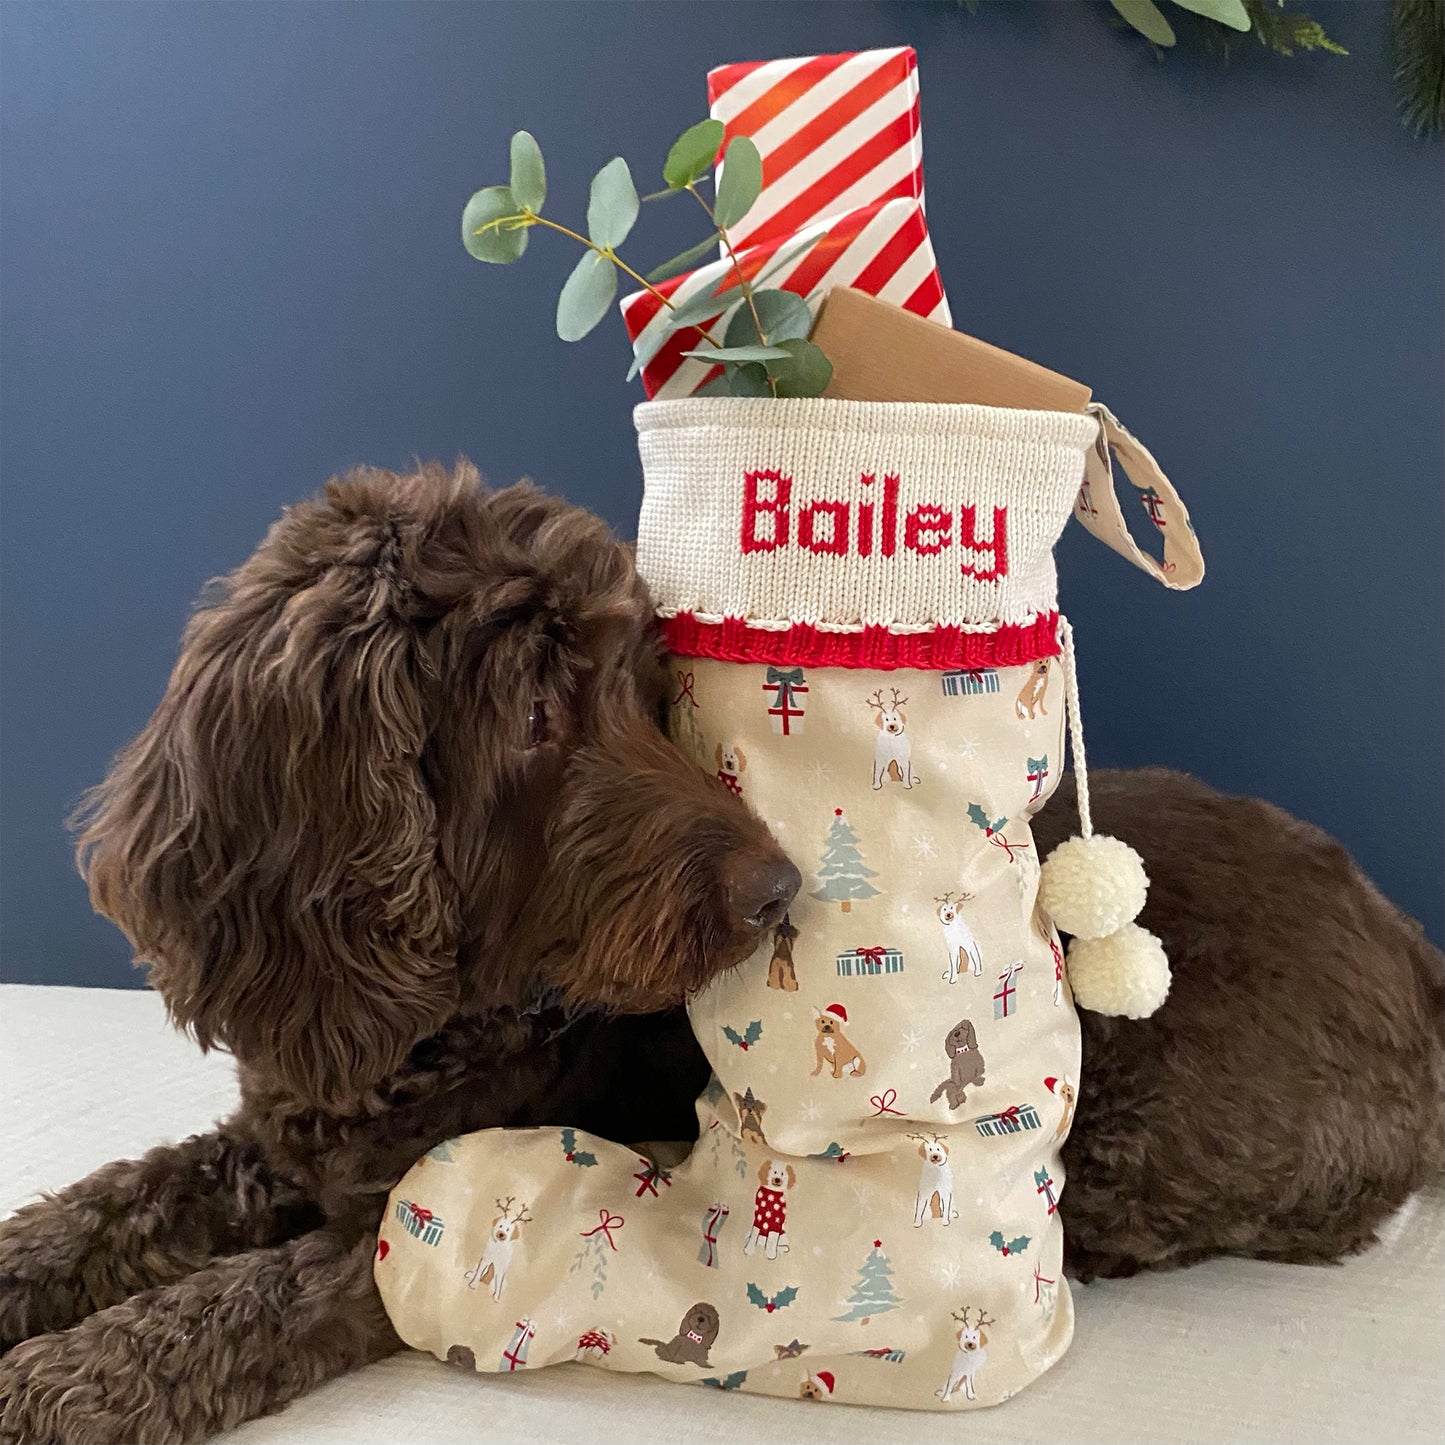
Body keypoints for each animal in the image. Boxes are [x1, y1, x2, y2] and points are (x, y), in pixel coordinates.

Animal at [0, 462, 797, 1445]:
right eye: (534, 711)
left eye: (646, 696)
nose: (779, 888)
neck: (426, 1037)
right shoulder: (278, 1141)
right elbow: (103, 1205)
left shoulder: (394, 1222)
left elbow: (245, 1298)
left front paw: (62, 1381)